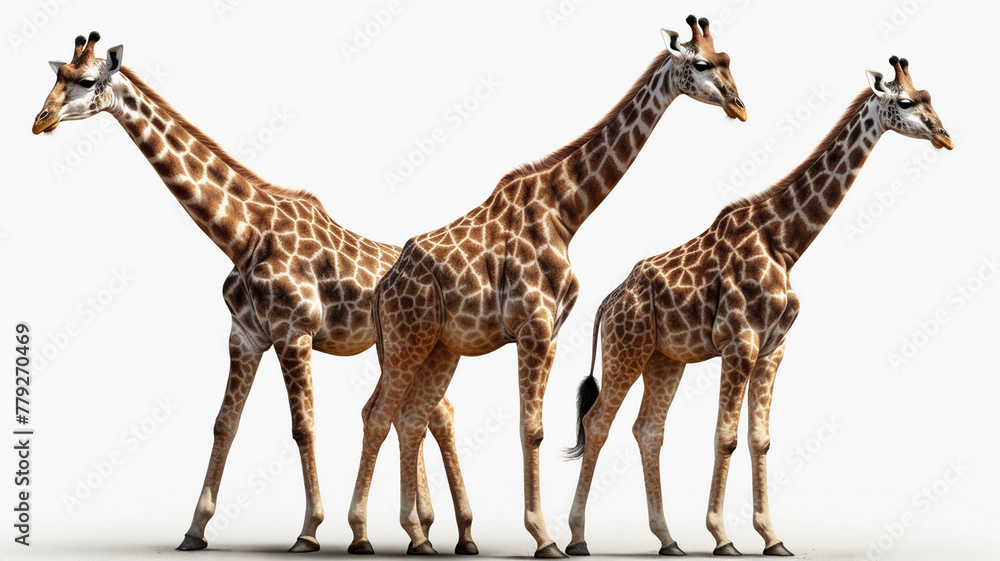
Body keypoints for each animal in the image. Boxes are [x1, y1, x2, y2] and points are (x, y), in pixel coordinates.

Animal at [32, 32, 480, 555]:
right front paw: (195, 529)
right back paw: (431, 532)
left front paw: (309, 530)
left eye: (85, 80)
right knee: (432, 412)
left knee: (432, 413)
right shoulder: (245, 336)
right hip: (397, 348)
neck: (243, 236)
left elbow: (303, 427)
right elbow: (224, 424)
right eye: (56, 74)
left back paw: (449, 533)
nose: (40, 120)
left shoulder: (294, 333)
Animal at [346, 16, 747, 558]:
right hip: (409, 338)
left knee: (409, 416)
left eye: (728, 60)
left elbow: (531, 426)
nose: (739, 105)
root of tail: (383, 287)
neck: (566, 211)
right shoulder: (533, 326)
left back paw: (418, 536)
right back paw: (361, 533)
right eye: (702, 64)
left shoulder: (551, 330)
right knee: (377, 414)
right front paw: (544, 536)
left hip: (438, 346)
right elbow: (530, 430)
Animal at [563, 56, 952, 556]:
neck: (785, 243)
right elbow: (725, 437)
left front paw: (772, 537)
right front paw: (722, 536)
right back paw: (577, 537)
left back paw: (668, 539)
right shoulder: (739, 343)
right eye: (905, 102)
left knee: (648, 430)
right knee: (597, 422)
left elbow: (760, 439)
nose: (944, 135)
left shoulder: (773, 349)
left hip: (665, 359)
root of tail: (607, 302)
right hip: (625, 350)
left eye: (928, 96)